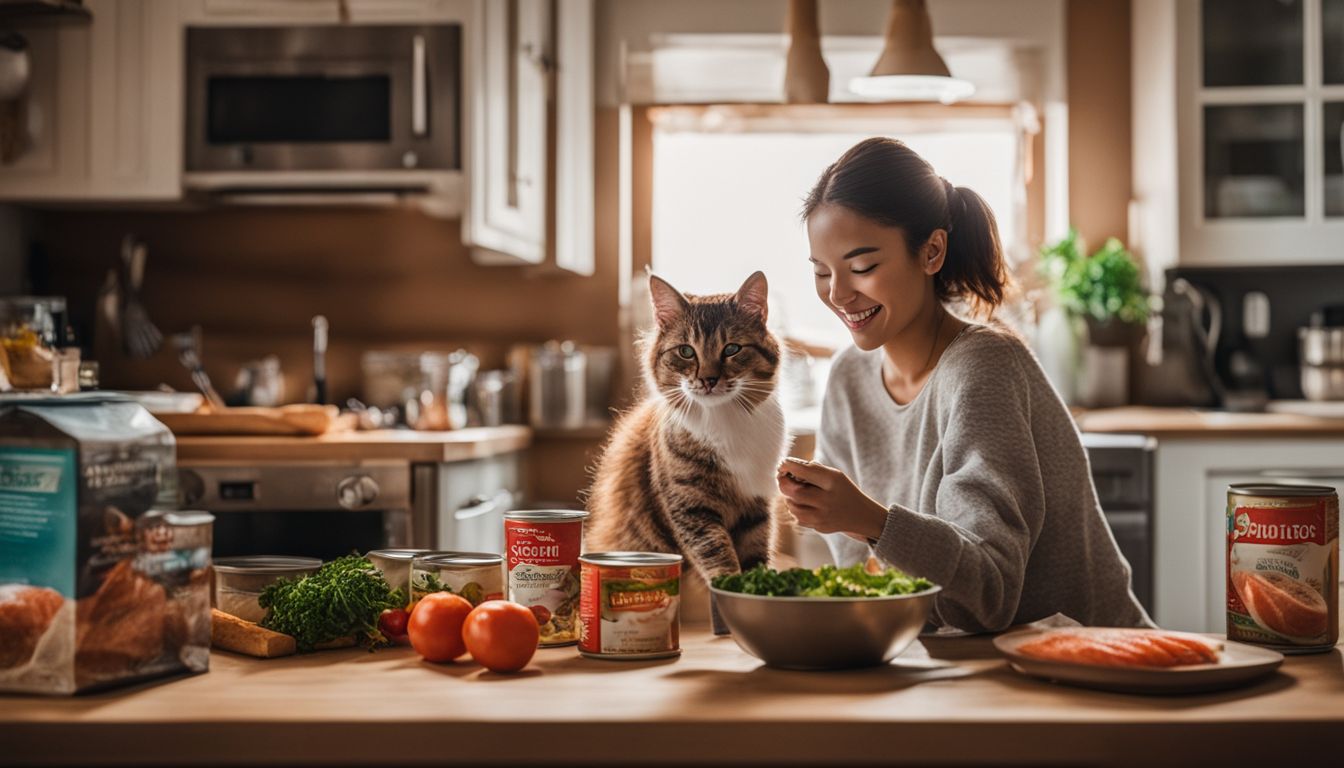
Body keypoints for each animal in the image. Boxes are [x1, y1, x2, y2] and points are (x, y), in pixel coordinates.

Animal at [585, 271, 784, 624]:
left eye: (732, 349)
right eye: (686, 352)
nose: (708, 380)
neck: (724, 423)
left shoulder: (756, 509)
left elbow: (755, 558)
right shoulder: (692, 509)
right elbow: (718, 557)